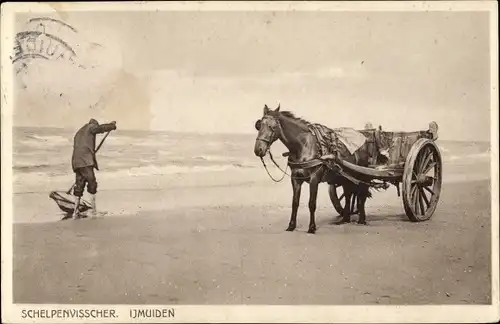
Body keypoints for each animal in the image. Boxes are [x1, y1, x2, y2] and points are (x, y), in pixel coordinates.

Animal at [254, 104, 376, 233]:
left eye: (272, 127)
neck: (303, 146)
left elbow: (312, 203)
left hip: (361, 174)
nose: (258, 150)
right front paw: (291, 225)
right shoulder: (295, 178)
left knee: (361, 194)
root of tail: (364, 140)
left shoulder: (314, 179)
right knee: (348, 194)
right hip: (345, 177)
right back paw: (345, 219)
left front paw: (312, 227)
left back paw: (361, 219)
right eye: (259, 126)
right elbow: (295, 202)